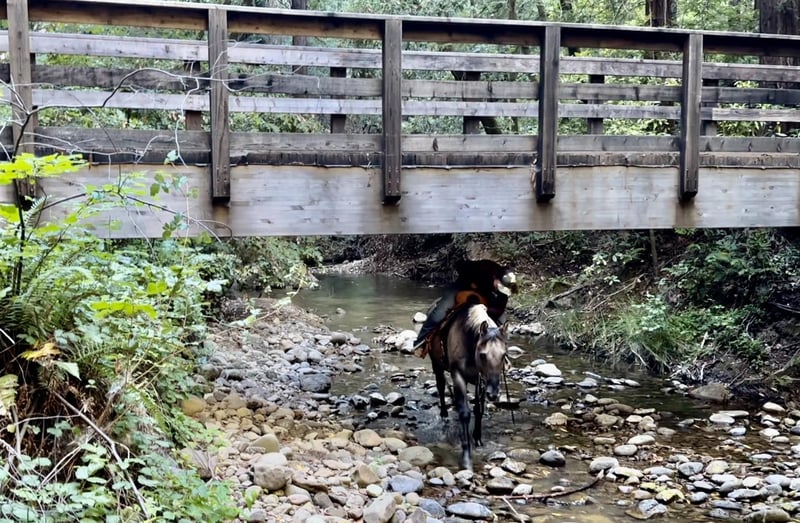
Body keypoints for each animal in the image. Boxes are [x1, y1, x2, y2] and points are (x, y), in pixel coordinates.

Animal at [429, 302, 509, 470]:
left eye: (504, 354)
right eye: (483, 355)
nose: (493, 394)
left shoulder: (482, 381)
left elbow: (479, 410)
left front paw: (477, 438)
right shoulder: (458, 375)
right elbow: (465, 413)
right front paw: (466, 456)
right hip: (436, 364)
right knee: (441, 387)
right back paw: (444, 416)